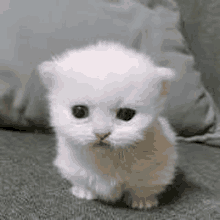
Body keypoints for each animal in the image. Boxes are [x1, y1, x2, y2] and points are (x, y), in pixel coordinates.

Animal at [38, 41, 178, 210]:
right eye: (79, 111)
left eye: (126, 114)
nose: (101, 134)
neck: (107, 158)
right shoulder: (71, 164)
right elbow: (82, 180)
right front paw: (84, 192)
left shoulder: (158, 167)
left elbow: (142, 187)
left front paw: (142, 201)